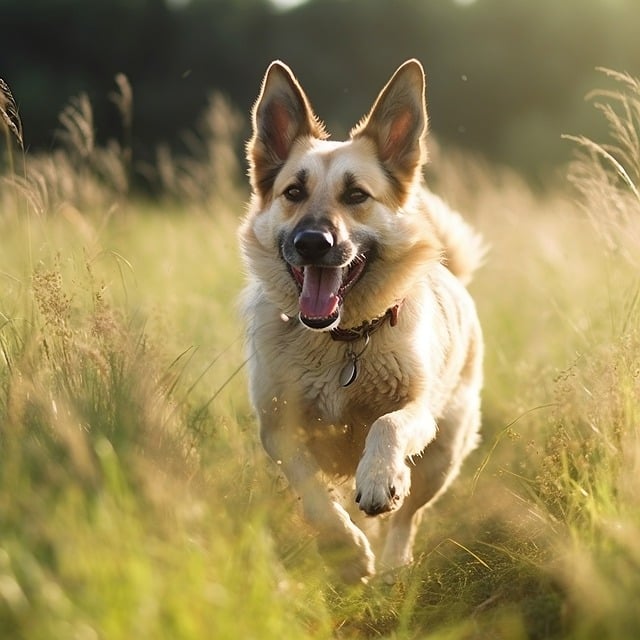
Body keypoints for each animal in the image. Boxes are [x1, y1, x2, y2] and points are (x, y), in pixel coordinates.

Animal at [240, 60, 484, 584]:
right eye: (294, 192)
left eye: (356, 195)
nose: (313, 243)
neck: (341, 341)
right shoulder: (279, 431)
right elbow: (313, 494)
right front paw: (345, 551)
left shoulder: (417, 410)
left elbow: (387, 425)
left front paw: (379, 480)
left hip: (443, 457)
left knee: (408, 516)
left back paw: (393, 564)